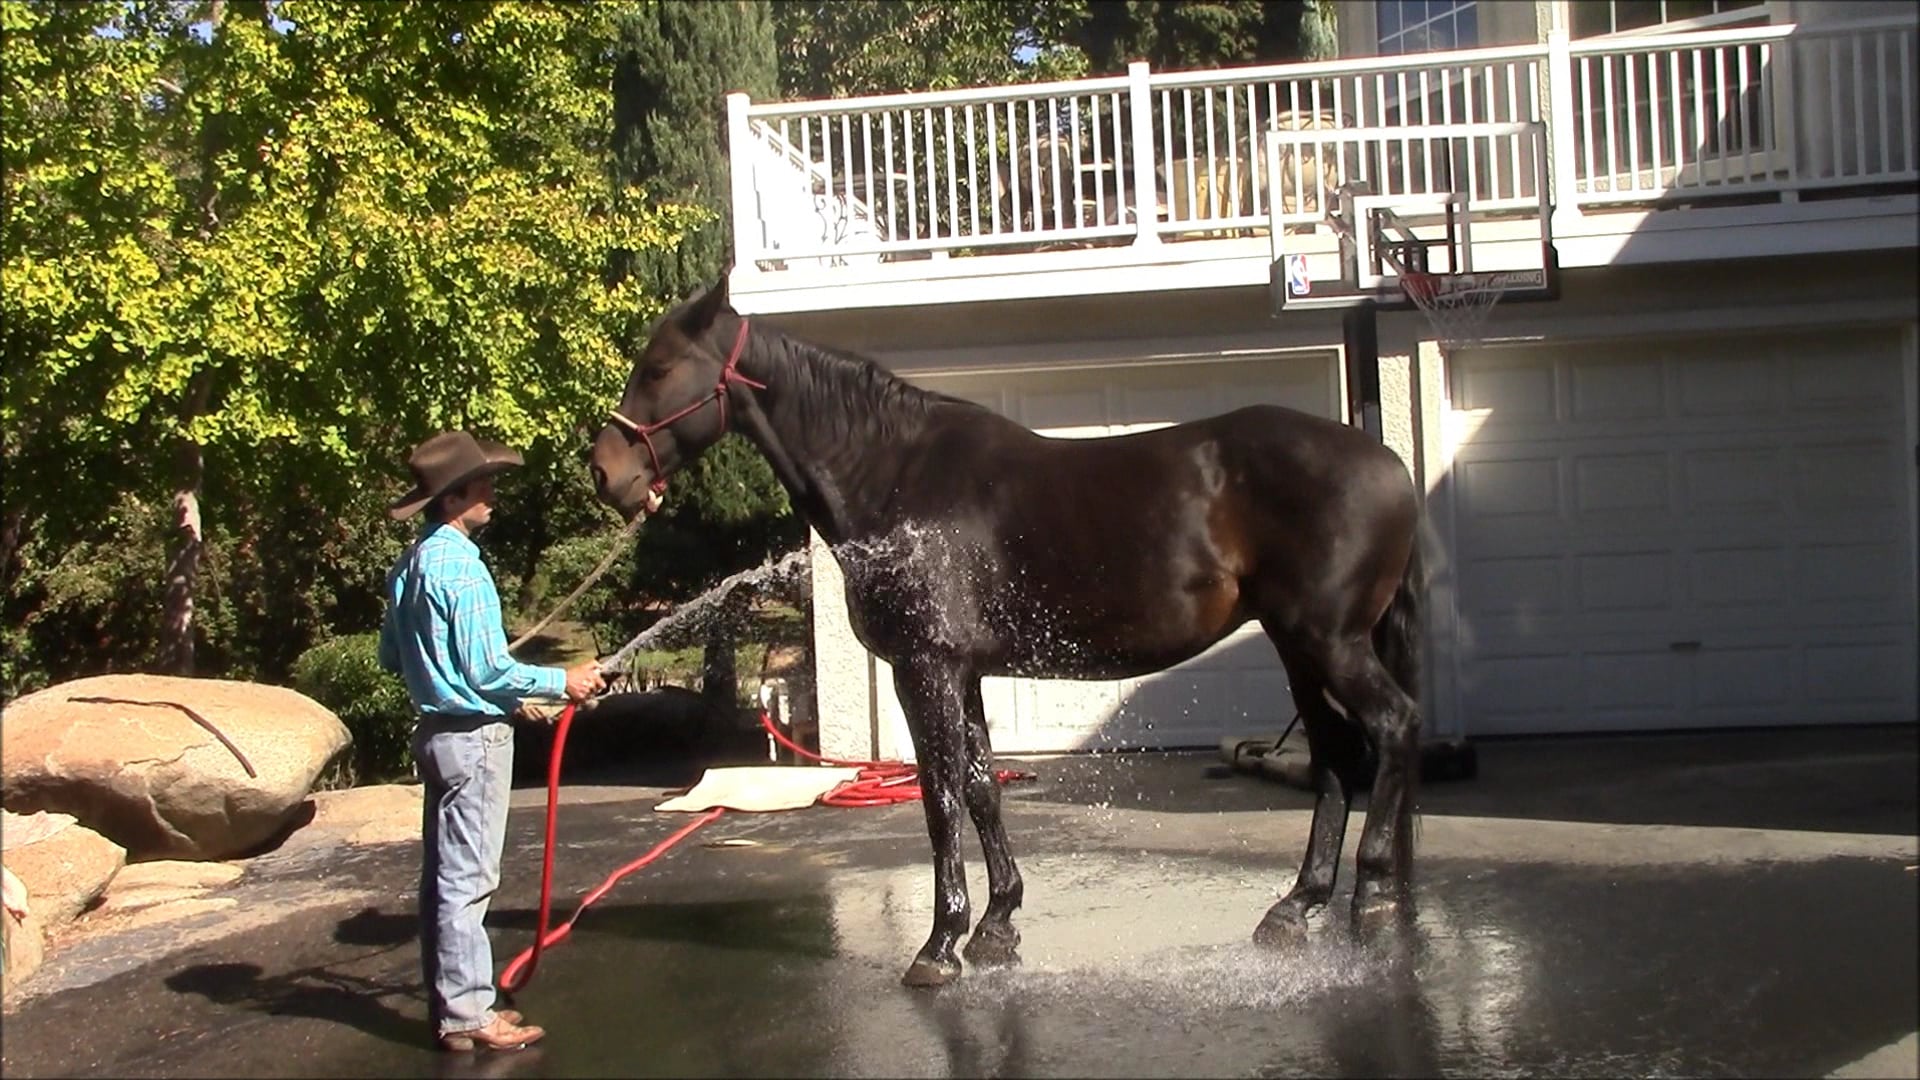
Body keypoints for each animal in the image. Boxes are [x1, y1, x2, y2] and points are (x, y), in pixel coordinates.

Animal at [589, 276, 1427, 988]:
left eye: (660, 367)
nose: (605, 473)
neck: (894, 473)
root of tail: (1388, 463)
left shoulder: (923, 667)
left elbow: (938, 799)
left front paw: (938, 947)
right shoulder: (963, 671)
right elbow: (982, 788)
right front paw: (996, 927)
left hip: (1328, 643)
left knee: (1392, 727)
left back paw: (1375, 892)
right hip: (1298, 649)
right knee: (1333, 757)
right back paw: (1296, 906)